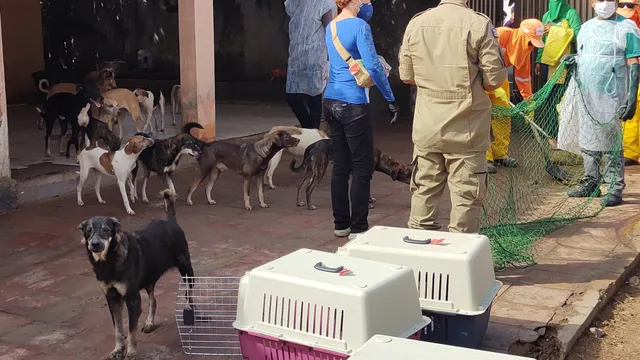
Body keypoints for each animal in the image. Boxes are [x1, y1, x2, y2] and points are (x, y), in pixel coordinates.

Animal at [78, 188, 192, 360]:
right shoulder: (112, 298)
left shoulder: (132, 299)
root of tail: (171, 222)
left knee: (189, 293)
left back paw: (191, 311)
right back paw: (150, 323)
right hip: (149, 278)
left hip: (186, 270)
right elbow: (118, 329)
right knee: (154, 300)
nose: (95, 244)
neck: (109, 262)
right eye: (88, 231)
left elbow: (131, 331)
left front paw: (130, 353)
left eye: (106, 230)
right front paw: (118, 350)